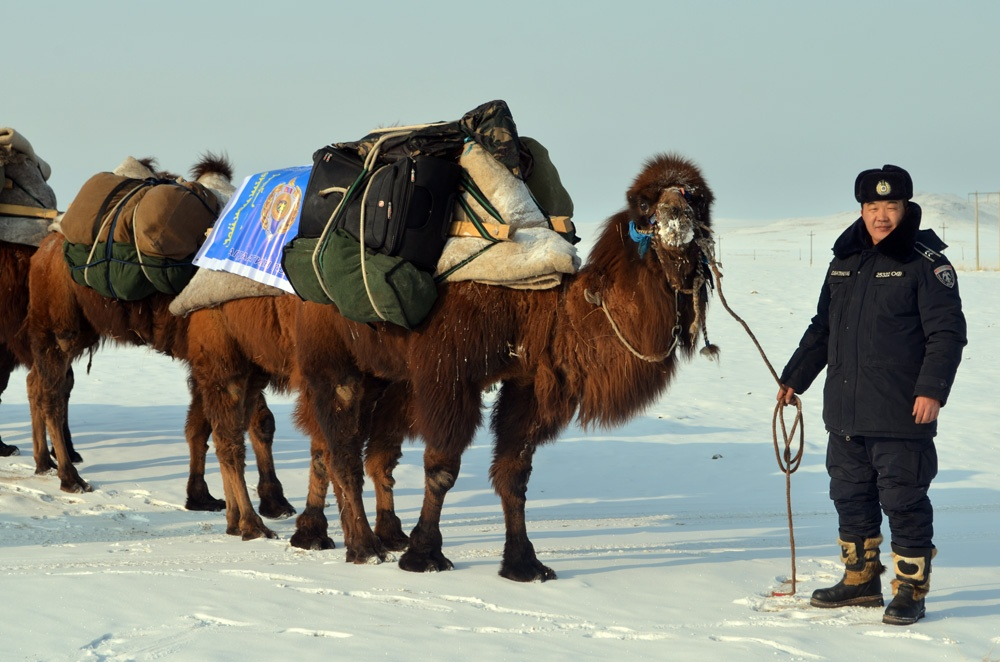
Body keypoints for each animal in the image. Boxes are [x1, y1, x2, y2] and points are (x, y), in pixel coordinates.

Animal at [25, 154, 294, 528]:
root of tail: (46, 246)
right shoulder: (224, 355)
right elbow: (247, 422)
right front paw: (269, 502)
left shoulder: (211, 360)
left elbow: (208, 425)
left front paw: (204, 497)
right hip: (59, 328)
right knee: (51, 394)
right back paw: (70, 477)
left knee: (37, 382)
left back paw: (43, 463)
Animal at [290, 152, 720, 580]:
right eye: (644, 203)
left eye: (698, 200)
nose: (676, 215)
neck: (543, 309)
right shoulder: (449, 374)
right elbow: (442, 469)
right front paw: (424, 555)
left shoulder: (527, 381)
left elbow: (515, 473)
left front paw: (523, 563)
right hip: (333, 359)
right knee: (341, 450)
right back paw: (362, 547)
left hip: (383, 373)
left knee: (350, 450)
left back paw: (353, 539)